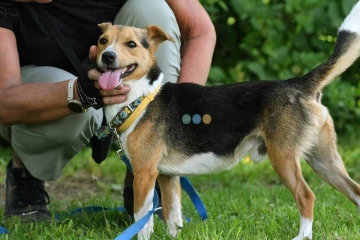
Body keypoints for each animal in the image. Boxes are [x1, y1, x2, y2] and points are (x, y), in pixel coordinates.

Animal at [95, 2, 360, 240]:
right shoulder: (167, 176)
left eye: (131, 44)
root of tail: (298, 83)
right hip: (323, 160)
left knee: (306, 196)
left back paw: (302, 235)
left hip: (284, 158)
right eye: (102, 41)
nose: (107, 57)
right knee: (355, 191)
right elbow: (173, 215)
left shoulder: (144, 173)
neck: (140, 98)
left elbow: (142, 221)